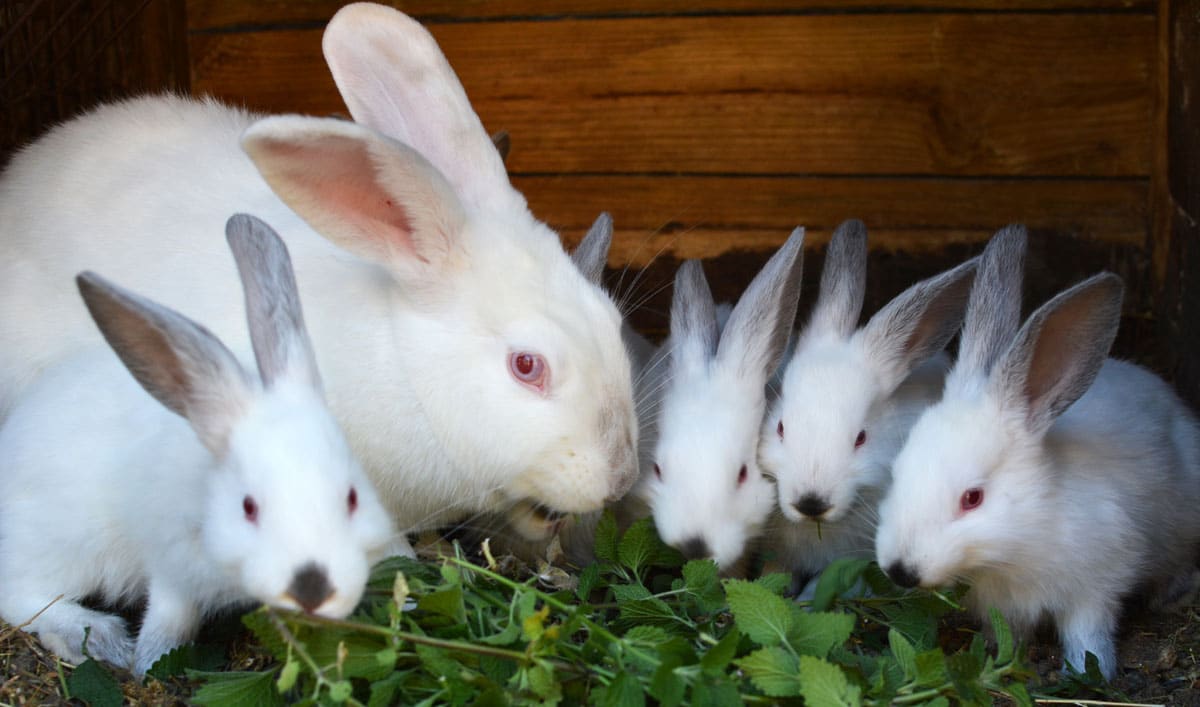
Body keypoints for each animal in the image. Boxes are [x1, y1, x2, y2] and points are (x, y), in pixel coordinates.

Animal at [0, 213, 393, 672]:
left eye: (352, 497)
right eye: (248, 507)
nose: (312, 588)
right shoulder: (170, 567)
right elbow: (170, 621)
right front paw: (147, 664)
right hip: (60, 545)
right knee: (21, 594)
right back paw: (95, 637)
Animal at [873, 226, 1200, 676]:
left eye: (973, 498)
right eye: (897, 474)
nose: (900, 570)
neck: (1020, 539)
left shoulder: (1097, 585)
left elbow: (1087, 632)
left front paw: (1088, 672)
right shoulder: (1004, 606)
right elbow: (1008, 633)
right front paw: (999, 655)